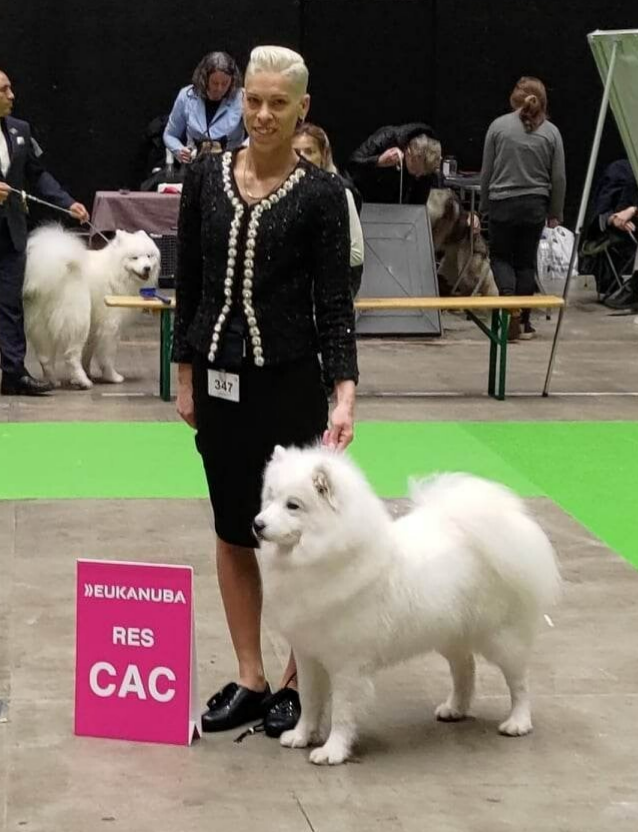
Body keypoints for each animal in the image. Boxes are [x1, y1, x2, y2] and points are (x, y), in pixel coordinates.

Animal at [23, 225, 160, 388]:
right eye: (135, 258)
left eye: (149, 256)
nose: (147, 268)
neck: (115, 271)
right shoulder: (110, 326)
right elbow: (107, 356)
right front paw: (112, 377)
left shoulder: (94, 328)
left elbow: (88, 353)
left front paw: (86, 373)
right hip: (78, 319)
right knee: (71, 355)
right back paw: (84, 381)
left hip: (41, 325)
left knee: (45, 358)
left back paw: (54, 381)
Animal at [254, 445, 561, 765]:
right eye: (270, 497)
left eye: (293, 505)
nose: (257, 524)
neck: (327, 556)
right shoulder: (308, 655)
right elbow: (310, 700)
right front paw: (301, 736)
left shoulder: (347, 665)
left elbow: (341, 712)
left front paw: (332, 751)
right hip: (450, 633)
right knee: (465, 667)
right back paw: (455, 708)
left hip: (501, 638)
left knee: (519, 681)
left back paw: (518, 722)